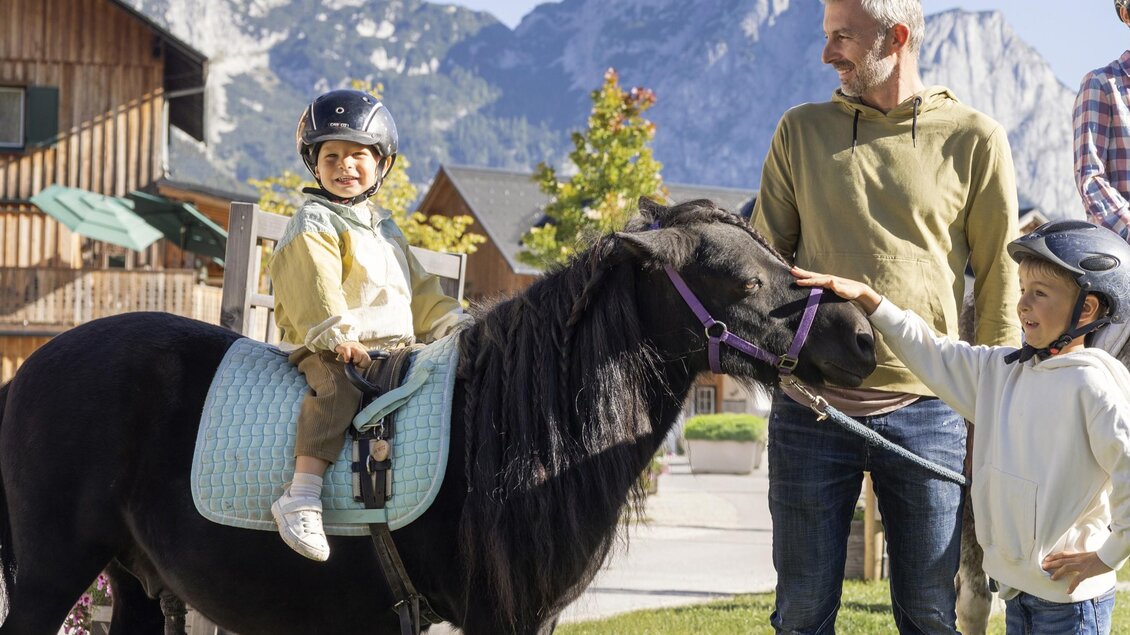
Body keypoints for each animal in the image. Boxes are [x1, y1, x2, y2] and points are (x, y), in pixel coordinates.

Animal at [0, 197, 876, 635]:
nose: (864, 337)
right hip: (49, 575)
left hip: (134, 581)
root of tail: (28, 371)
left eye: (779, 259)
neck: (516, 429)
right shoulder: (494, 616)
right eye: (745, 281)